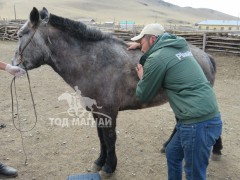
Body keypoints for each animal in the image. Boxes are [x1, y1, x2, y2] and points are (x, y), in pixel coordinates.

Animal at [13, 6, 222, 177]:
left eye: (21, 34)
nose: (14, 65)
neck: (94, 62)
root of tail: (206, 56)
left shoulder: (109, 111)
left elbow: (110, 138)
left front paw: (109, 167)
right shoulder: (97, 112)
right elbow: (101, 138)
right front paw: (99, 162)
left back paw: (215, 149)